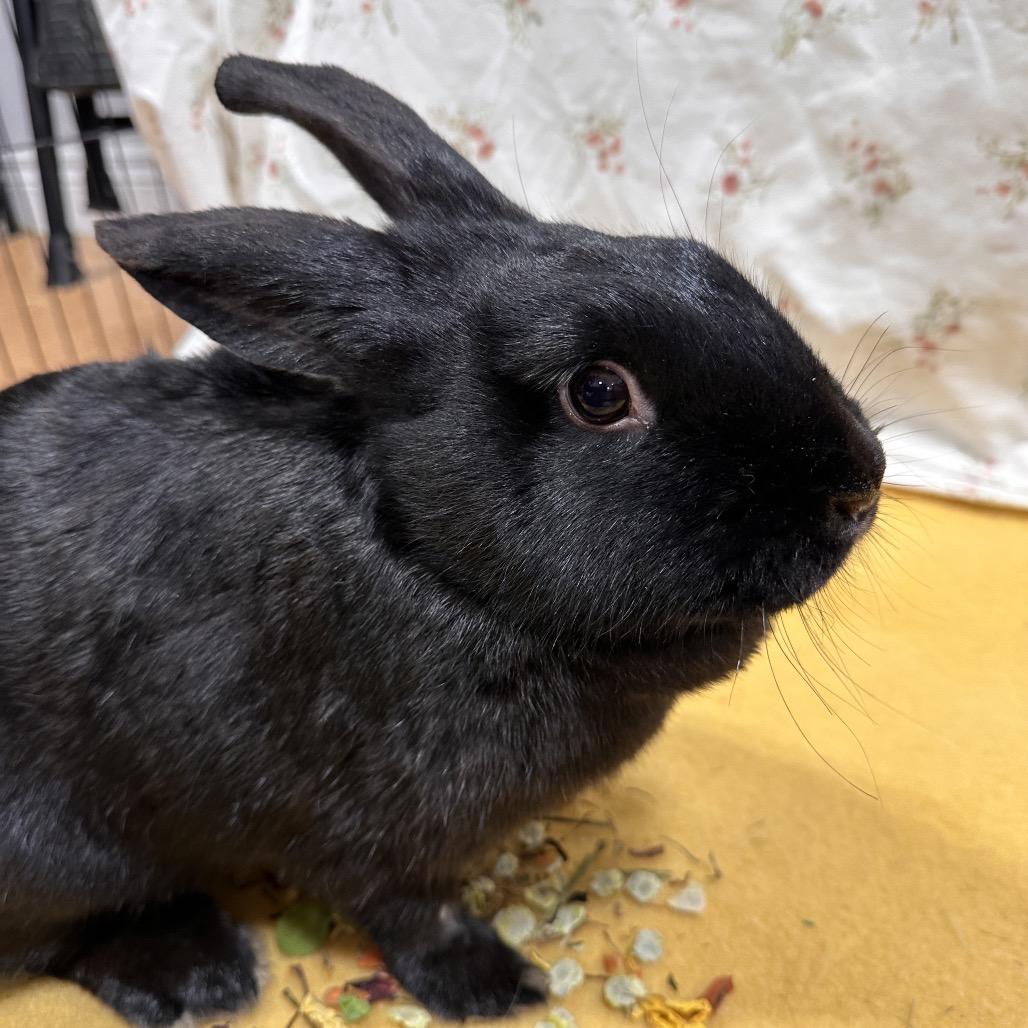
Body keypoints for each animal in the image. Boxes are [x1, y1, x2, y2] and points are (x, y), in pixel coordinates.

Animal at [0, 55, 886, 1026]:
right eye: (599, 393)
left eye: (710, 267)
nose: (862, 483)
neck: (427, 557)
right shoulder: (368, 826)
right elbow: (413, 912)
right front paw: (497, 983)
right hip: (59, 853)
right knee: (61, 937)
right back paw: (201, 974)